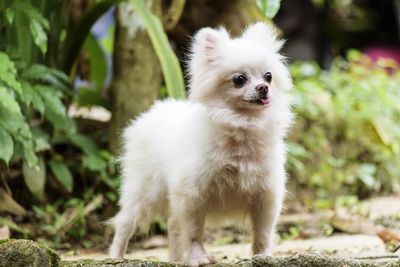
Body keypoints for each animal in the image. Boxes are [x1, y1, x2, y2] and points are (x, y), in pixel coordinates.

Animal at [109, 22, 294, 266]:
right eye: (239, 79)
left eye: (269, 76)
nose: (263, 87)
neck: (242, 128)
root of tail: (152, 112)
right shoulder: (193, 195)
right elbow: (194, 233)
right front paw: (199, 257)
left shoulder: (266, 195)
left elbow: (263, 233)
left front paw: (263, 257)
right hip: (145, 192)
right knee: (125, 224)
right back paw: (115, 256)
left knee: (173, 227)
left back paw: (175, 259)